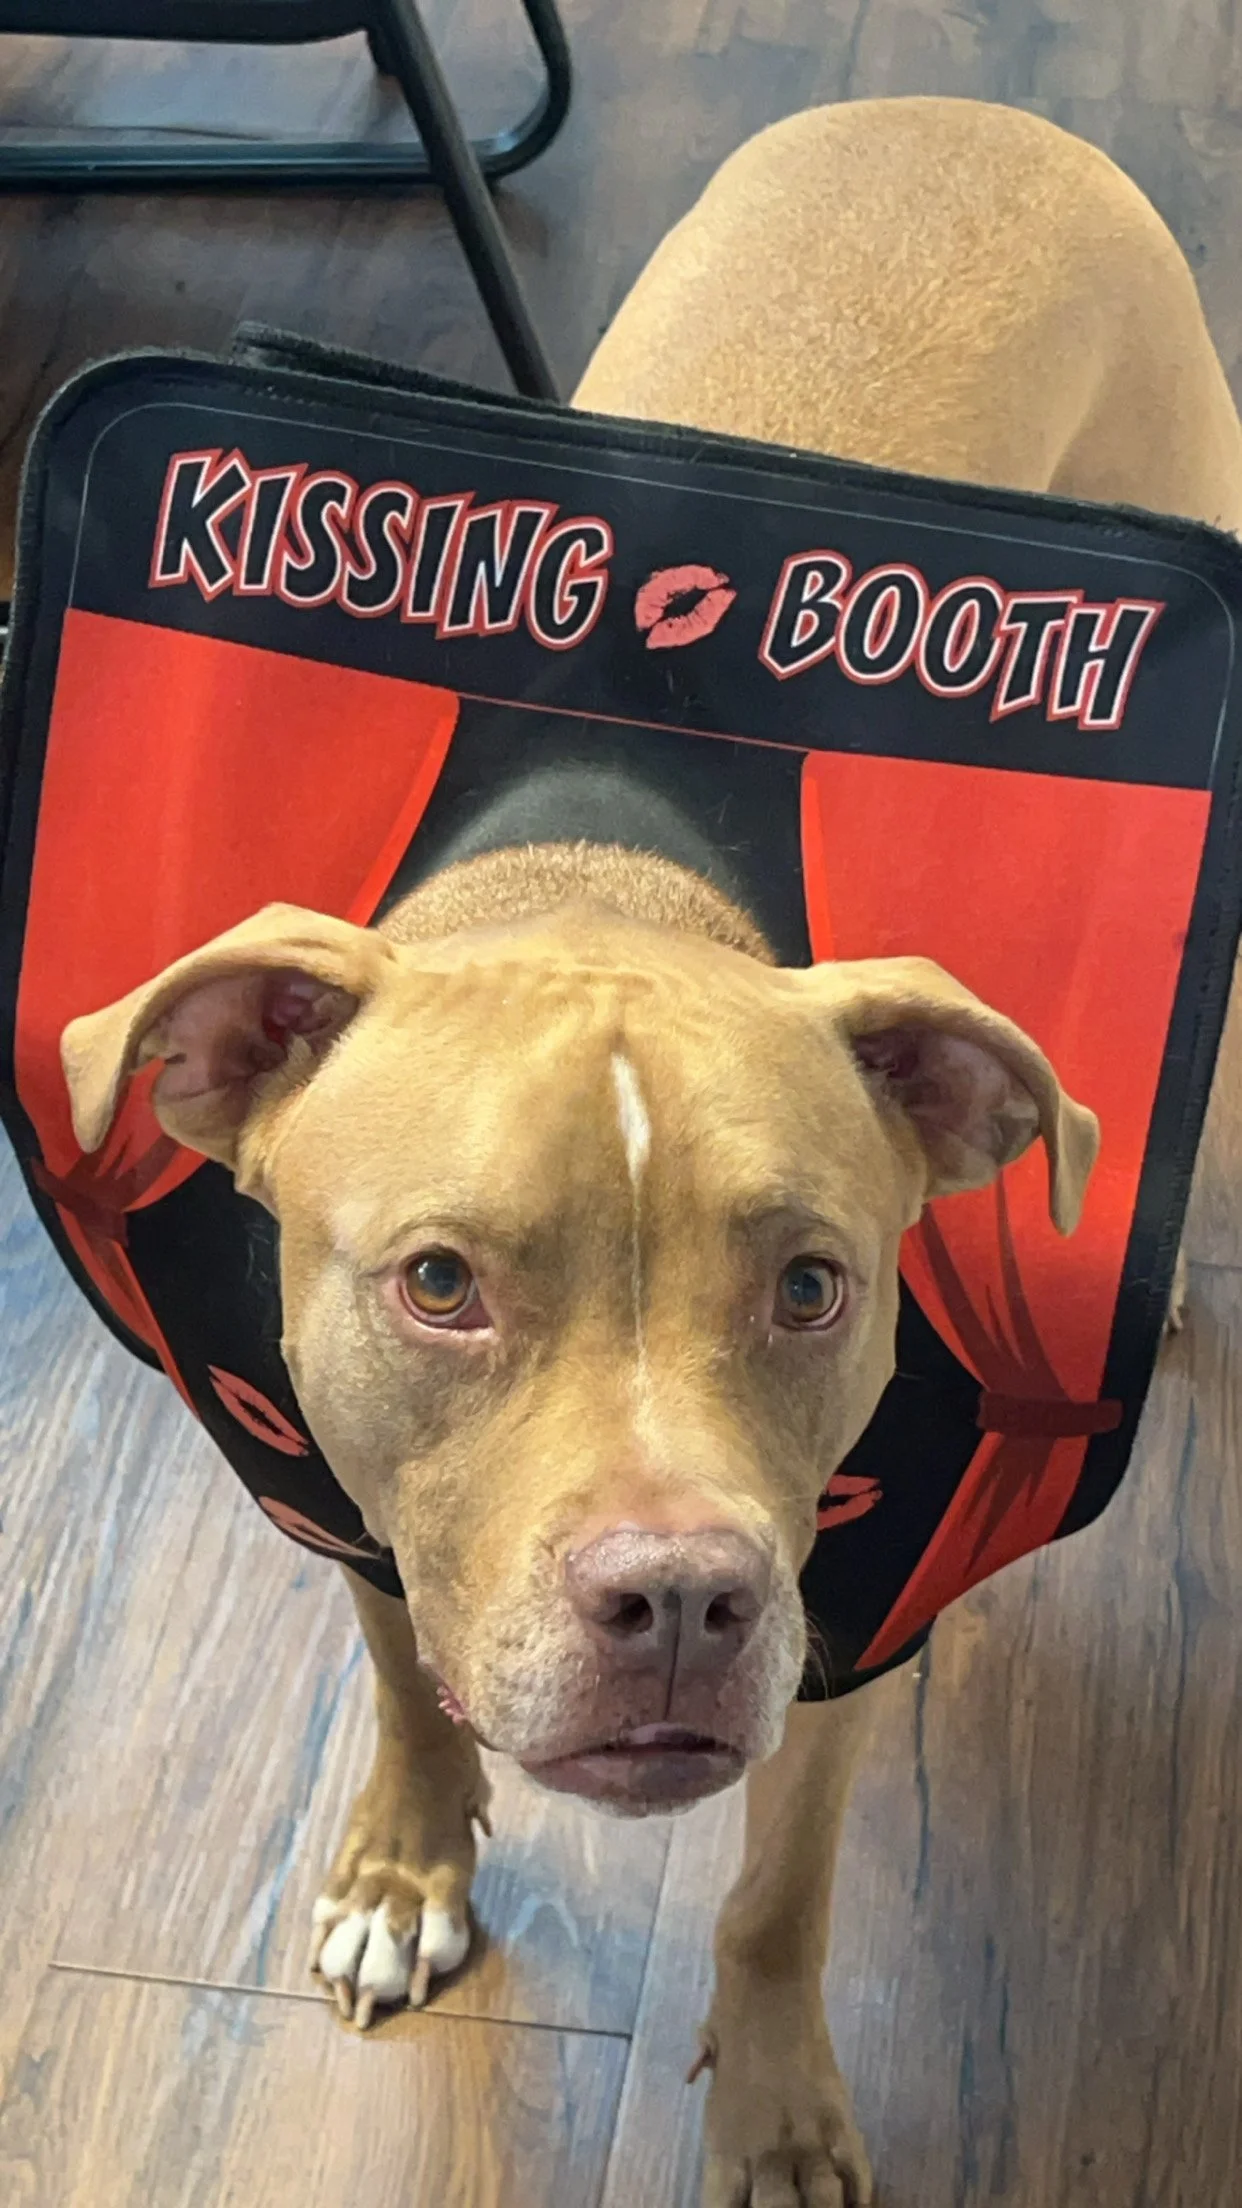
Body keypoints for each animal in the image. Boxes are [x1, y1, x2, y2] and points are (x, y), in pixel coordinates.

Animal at [58, 99, 1242, 2208]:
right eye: (439, 1282)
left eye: (812, 1284)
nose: (682, 1599)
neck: (605, 874)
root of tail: (975, 115)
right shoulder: (347, 1485)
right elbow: (402, 1670)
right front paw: (402, 1866)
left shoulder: (854, 1632)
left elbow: (777, 1895)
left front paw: (773, 2108)